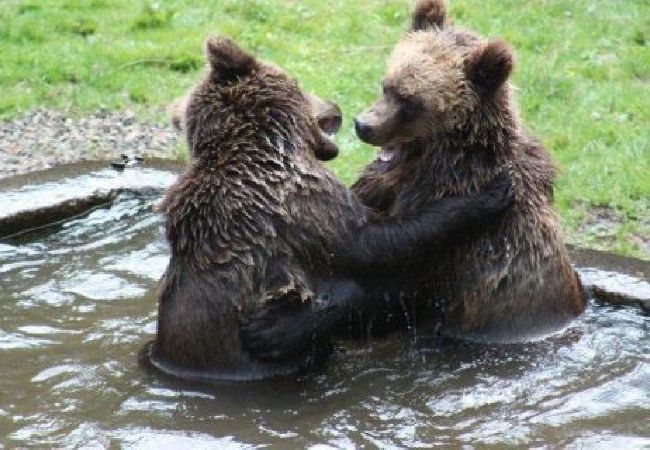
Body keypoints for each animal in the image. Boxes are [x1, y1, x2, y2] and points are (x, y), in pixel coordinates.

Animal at [142, 36, 512, 380]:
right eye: (299, 82)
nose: (338, 107)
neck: (267, 143)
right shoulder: (301, 198)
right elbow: (374, 244)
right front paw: (485, 195)